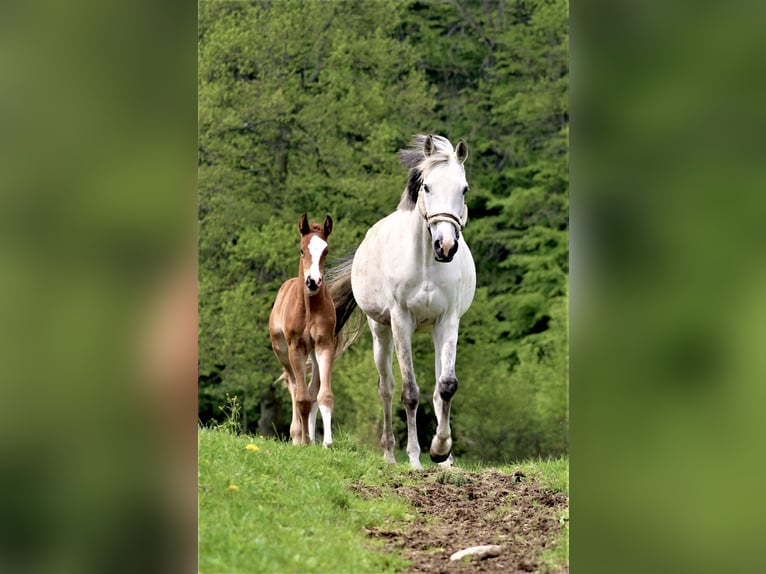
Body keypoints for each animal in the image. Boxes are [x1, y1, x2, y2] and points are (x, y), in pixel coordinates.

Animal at [269, 213, 336, 447]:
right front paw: (303, 441)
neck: (308, 309)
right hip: (282, 353)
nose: (313, 282)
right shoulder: (295, 347)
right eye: (301, 250)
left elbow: (323, 396)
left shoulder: (325, 345)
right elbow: (302, 398)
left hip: (313, 354)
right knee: (293, 386)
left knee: (312, 388)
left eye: (326, 251)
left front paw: (326, 443)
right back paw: (297, 434)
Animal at [330, 135, 476, 469]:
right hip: (380, 331)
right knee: (386, 388)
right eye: (427, 187)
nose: (446, 246)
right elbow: (409, 392)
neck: (426, 263)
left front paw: (441, 451)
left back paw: (445, 460)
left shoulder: (448, 322)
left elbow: (446, 386)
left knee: (436, 389)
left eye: (463, 189)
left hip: (434, 330)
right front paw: (414, 459)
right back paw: (389, 454)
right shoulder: (401, 322)